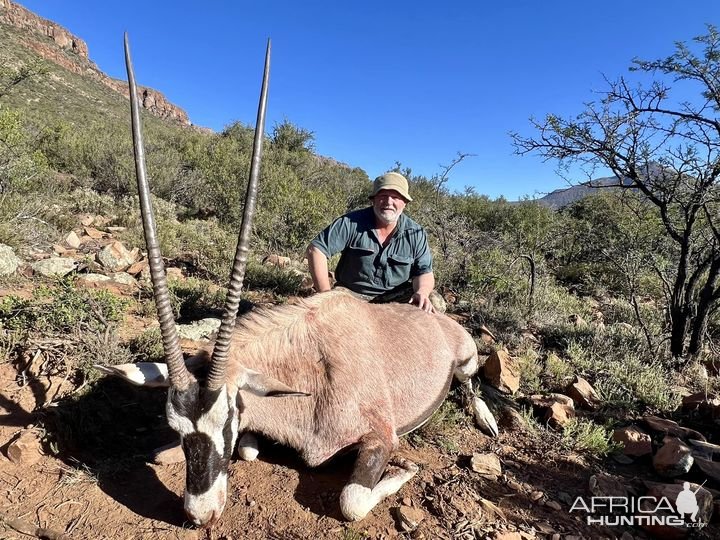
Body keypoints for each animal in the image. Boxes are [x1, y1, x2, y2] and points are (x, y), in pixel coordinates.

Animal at [101, 35, 498, 528]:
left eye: (229, 418)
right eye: (174, 426)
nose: (200, 513)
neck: (310, 366)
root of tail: (439, 321)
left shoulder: (380, 435)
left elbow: (351, 500)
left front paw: (406, 467)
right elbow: (248, 453)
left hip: (463, 362)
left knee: (471, 384)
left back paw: (488, 419)